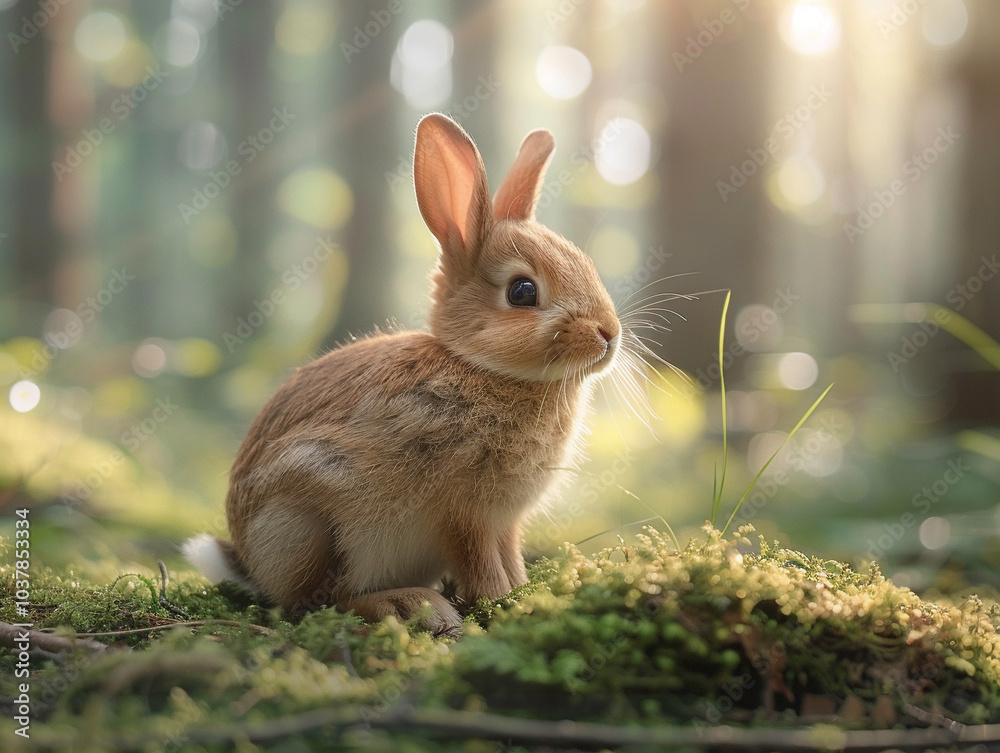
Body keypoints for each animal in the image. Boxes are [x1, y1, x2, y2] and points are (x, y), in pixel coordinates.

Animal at [183, 113, 622, 635]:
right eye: (522, 291)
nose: (610, 333)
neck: (478, 365)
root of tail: (253, 566)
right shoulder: (464, 514)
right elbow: (481, 563)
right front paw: (503, 605)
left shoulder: (505, 522)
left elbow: (509, 557)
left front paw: (524, 594)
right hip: (312, 523)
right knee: (318, 604)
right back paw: (409, 605)